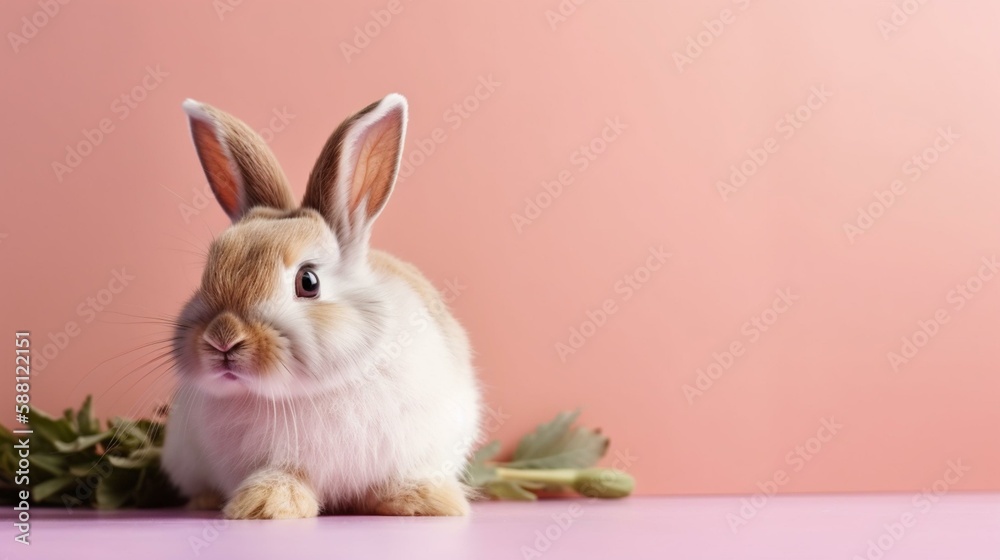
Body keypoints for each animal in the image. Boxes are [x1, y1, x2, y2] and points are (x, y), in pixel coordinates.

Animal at [160, 93, 482, 519]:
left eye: (308, 282)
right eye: (206, 275)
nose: (222, 338)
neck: (310, 392)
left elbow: (401, 478)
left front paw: (428, 501)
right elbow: (286, 476)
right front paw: (265, 504)